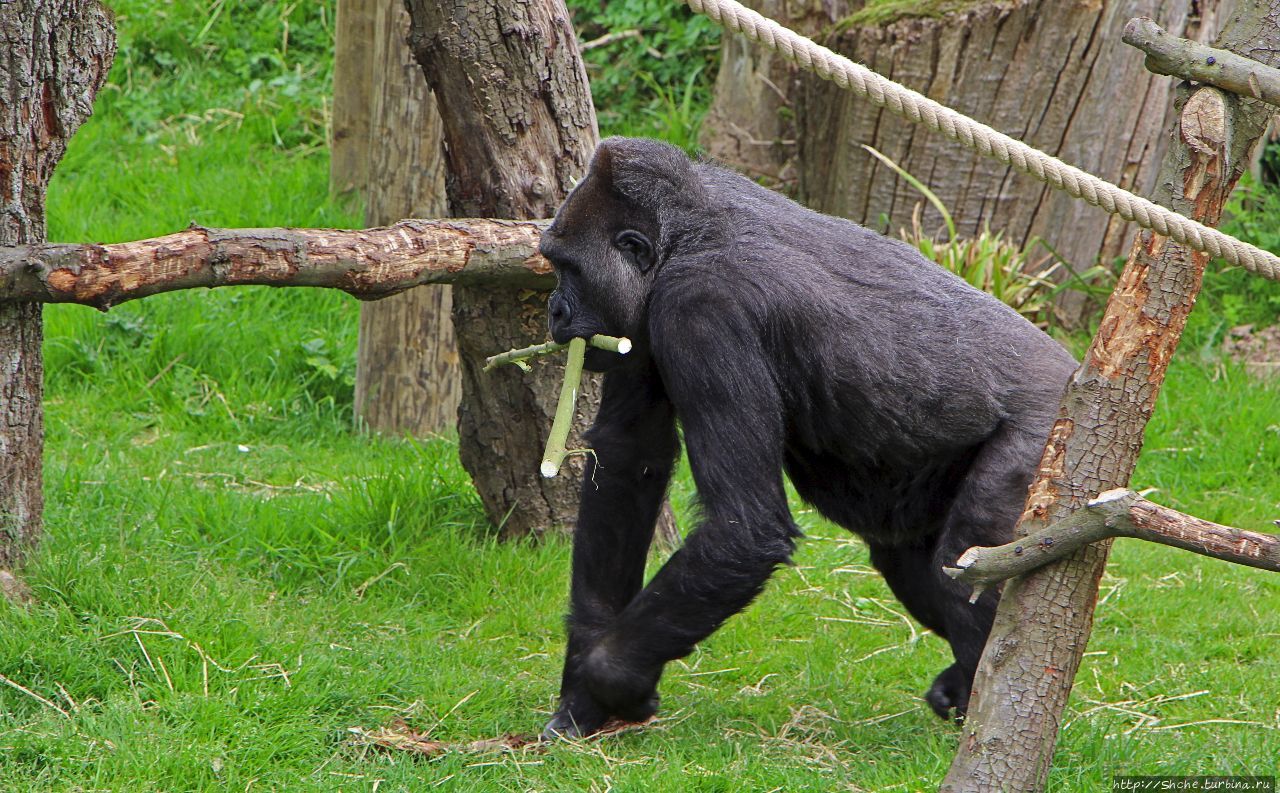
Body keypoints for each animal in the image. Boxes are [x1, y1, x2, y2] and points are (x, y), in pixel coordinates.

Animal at [535, 136, 1075, 736]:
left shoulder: (698, 308)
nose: (555, 312)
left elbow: (744, 527)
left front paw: (611, 678)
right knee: (916, 568)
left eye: (568, 269)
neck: (687, 233)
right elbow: (628, 459)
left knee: (966, 560)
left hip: (1048, 429)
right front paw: (582, 685)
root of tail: (1081, 373)